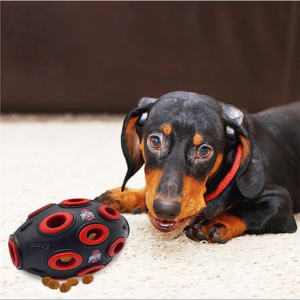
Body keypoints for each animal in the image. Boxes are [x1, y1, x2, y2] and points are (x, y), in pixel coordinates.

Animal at [96, 91, 300, 244]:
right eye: (155, 141)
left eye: (204, 151)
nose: (165, 210)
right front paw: (126, 195)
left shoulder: (279, 204)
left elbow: (243, 210)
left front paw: (214, 223)